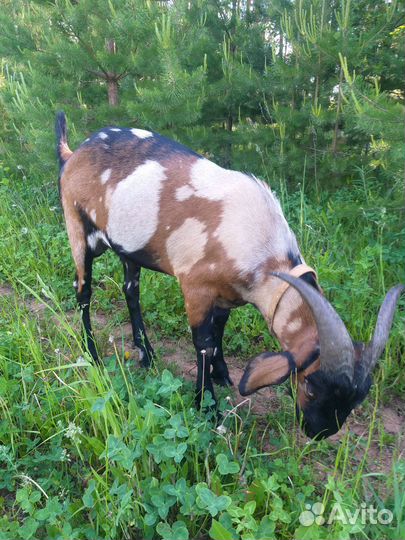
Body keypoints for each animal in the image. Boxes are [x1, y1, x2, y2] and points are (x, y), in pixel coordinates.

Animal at [55, 113, 402, 438]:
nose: (319, 432)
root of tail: (74, 153)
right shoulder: (195, 287)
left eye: (358, 398)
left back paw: (146, 354)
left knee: (131, 291)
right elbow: (204, 343)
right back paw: (92, 354)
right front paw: (206, 406)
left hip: (128, 248)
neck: (257, 239)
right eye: (312, 384)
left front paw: (221, 375)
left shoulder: (228, 293)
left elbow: (219, 329)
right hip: (77, 228)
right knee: (83, 290)